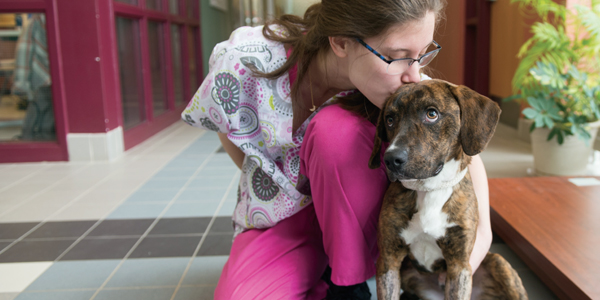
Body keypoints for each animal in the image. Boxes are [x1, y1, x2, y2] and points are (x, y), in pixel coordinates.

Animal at [368, 80, 528, 300]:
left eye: (432, 114)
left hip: (499, 263)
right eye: (390, 119)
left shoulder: (459, 266)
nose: (391, 159)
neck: (429, 188)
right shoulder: (388, 260)